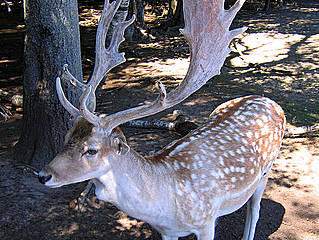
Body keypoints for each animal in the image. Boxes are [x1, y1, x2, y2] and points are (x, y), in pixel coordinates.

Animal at [38, 0, 288, 239]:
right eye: (66, 137)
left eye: (91, 150)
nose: (43, 175)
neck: (166, 204)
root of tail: (270, 101)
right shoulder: (167, 231)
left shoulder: (206, 221)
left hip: (266, 171)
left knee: (254, 211)